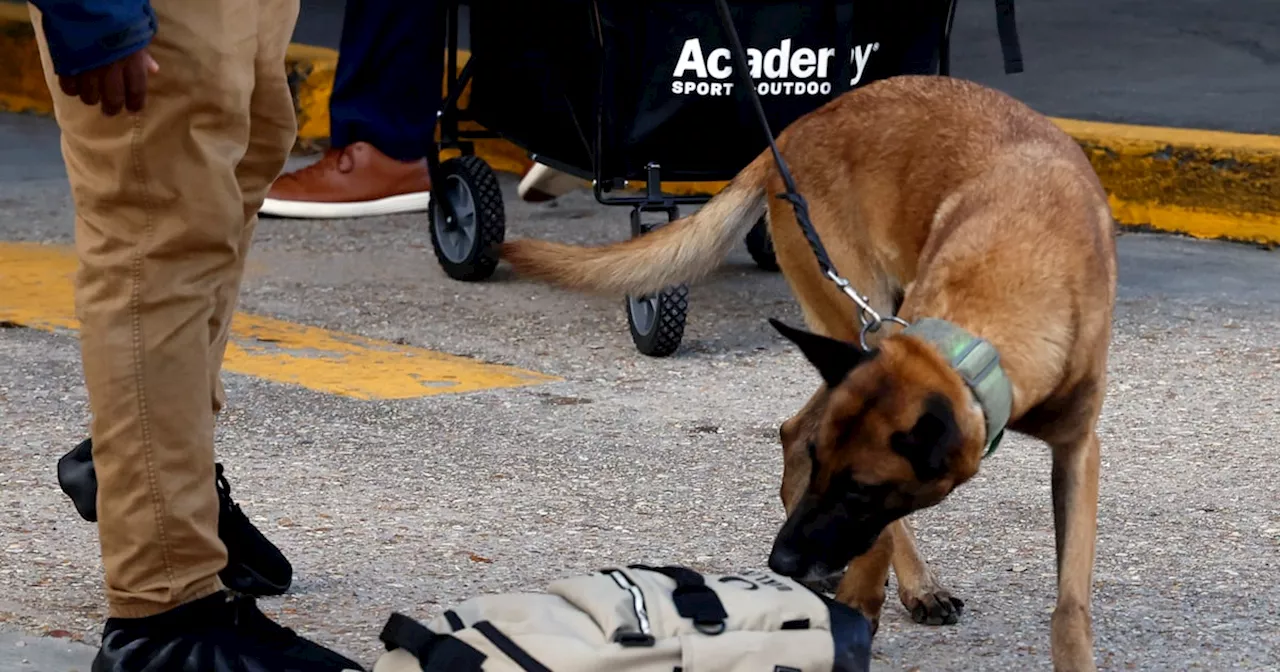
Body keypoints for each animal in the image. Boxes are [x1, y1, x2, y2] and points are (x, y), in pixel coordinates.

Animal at [499, 74, 1121, 670]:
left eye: (861, 491)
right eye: (835, 475)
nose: (782, 561)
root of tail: (793, 131)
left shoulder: (1077, 451)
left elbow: (1070, 602)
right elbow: (875, 544)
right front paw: (858, 604)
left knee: (793, 428)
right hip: (857, 318)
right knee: (799, 431)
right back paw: (905, 583)